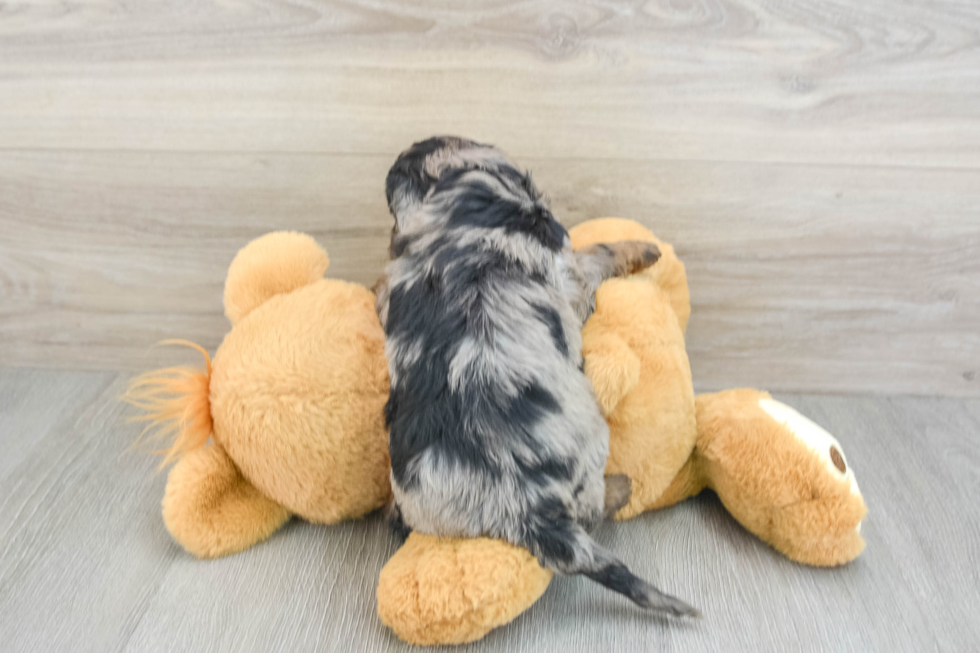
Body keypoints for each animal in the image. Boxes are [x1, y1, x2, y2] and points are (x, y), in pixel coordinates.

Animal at [376, 136, 696, 616]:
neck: (456, 203)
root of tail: (525, 512)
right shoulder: (569, 270)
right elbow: (598, 253)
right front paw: (645, 249)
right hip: (591, 448)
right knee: (594, 508)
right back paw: (622, 486)